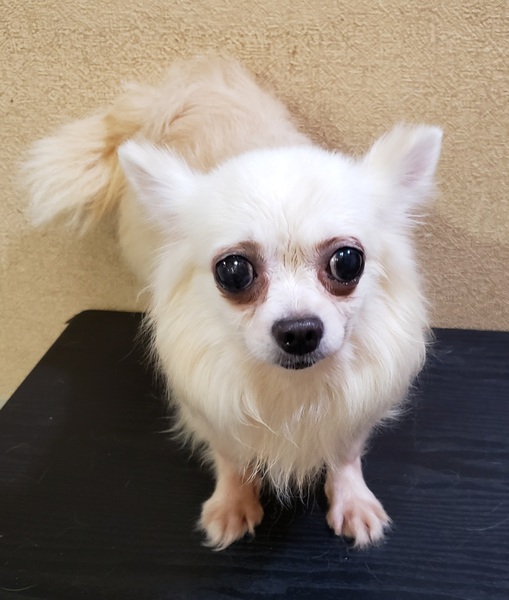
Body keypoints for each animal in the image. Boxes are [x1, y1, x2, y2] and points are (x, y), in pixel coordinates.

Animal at [23, 56, 442, 550]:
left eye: (347, 262)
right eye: (234, 271)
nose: (299, 330)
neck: (290, 390)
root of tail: (175, 91)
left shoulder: (356, 407)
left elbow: (344, 453)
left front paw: (351, 499)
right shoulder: (208, 403)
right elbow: (230, 455)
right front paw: (233, 502)